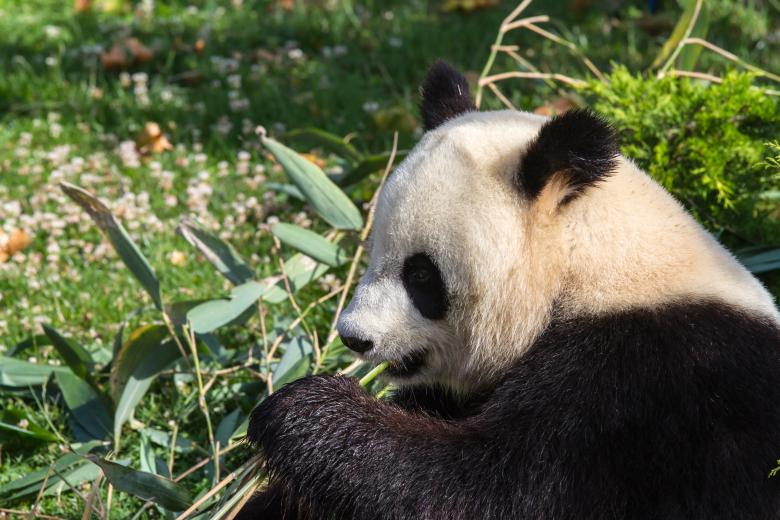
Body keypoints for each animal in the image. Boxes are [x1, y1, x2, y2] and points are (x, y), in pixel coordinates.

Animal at [240, 61, 780, 519]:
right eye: (373, 253)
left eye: (421, 276)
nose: (354, 336)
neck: (589, 263)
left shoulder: (646, 389)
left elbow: (490, 488)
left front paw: (302, 410)